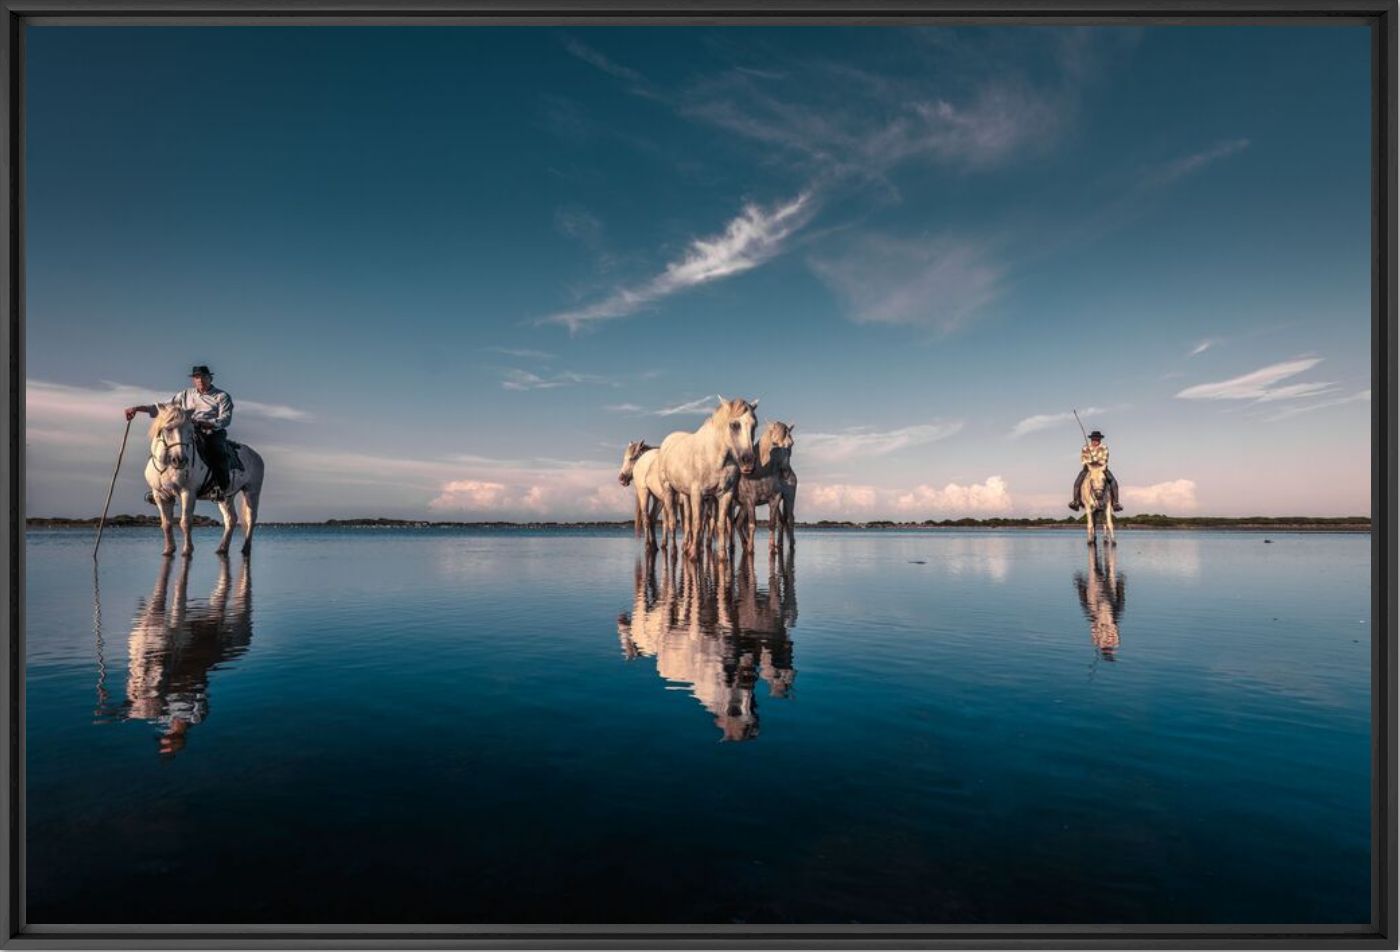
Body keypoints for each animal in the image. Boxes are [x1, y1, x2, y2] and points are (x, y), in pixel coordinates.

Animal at [146, 403, 266, 557]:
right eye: (167, 429)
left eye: (190, 431)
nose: (180, 460)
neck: (165, 466)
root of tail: (255, 455)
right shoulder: (160, 495)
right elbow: (166, 523)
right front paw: (168, 550)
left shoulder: (188, 493)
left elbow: (185, 522)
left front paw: (187, 550)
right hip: (226, 497)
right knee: (231, 519)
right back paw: (222, 548)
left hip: (252, 491)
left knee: (251, 518)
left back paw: (245, 549)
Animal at [660, 397, 761, 562]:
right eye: (734, 424)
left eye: (754, 425)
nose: (748, 462)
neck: (715, 456)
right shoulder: (697, 493)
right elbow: (697, 524)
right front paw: (693, 555)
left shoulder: (724, 494)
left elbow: (720, 524)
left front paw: (722, 556)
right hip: (668, 488)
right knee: (673, 522)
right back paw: (675, 551)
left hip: (687, 495)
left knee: (687, 520)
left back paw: (686, 547)